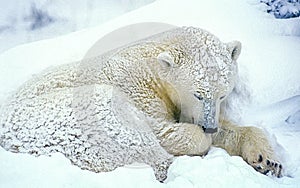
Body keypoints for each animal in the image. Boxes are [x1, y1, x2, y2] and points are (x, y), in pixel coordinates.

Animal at [0, 26, 282, 181]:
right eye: (198, 94)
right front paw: (202, 139)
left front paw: (267, 160)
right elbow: (164, 130)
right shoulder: (135, 89)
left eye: (223, 93)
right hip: (70, 119)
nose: (209, 127)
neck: (149, 65)